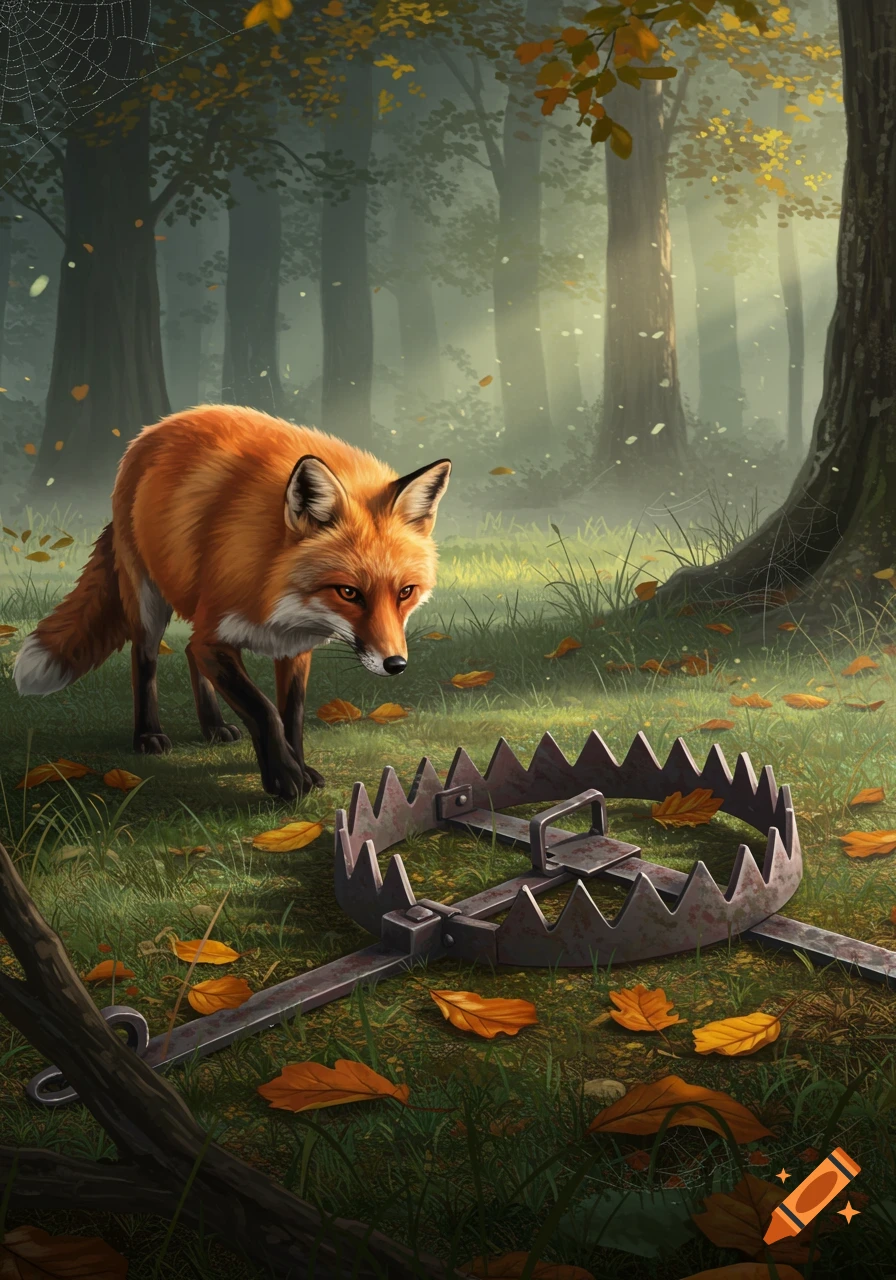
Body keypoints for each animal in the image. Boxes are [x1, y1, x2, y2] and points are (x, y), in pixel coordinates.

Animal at [13, 405, 451, 800]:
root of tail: (154, 428)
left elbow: (291, 714)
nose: (395, 664)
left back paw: (213, 727)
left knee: (187, 653)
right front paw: (284, 778)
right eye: (349, 593)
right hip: (148, 601)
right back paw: (149, 734)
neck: (275, 587)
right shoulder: (216, 636)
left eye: (405, 592)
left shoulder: (294, 648)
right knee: (146, 659)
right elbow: (264, 710)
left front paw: (298, 765)